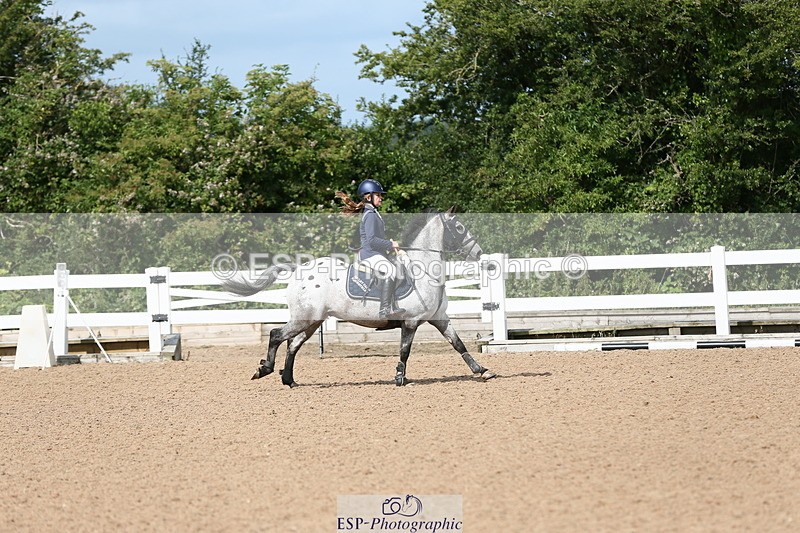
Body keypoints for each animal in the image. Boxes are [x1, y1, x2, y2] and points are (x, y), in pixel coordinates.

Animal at [222, 207, 496, 387]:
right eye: (459, 227)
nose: (480, 253)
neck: (424, 270)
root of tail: (298, 269)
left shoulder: (440, 318)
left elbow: (458, 344)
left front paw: (482, 370)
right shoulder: (410, 322)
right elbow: (404, 351)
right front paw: (400, 378)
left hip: (312, 322)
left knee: (293, 343)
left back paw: (288, 380)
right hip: (305, 318)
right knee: (276, 335)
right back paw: (265, 370)